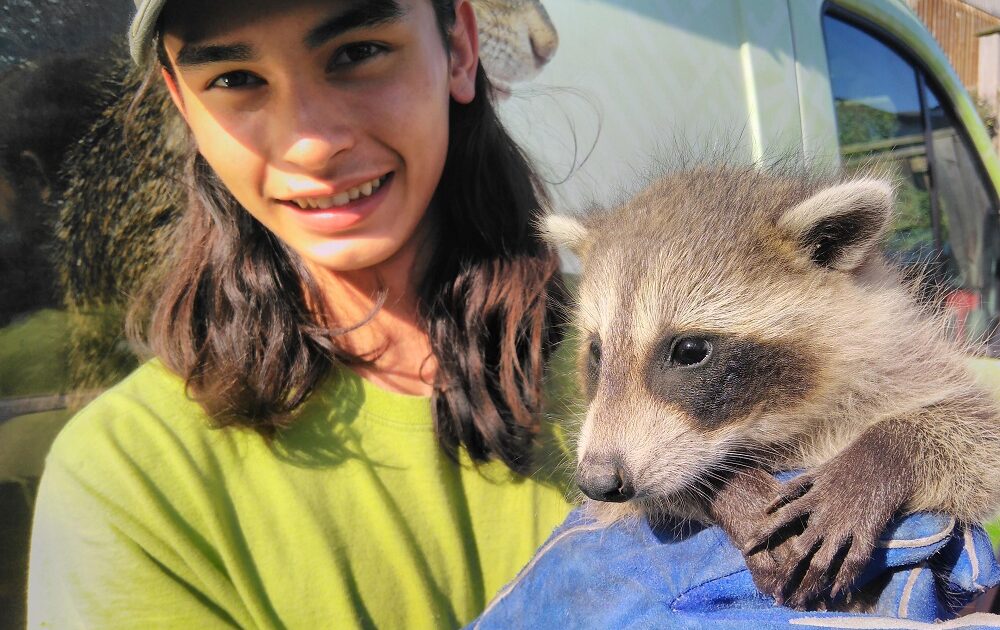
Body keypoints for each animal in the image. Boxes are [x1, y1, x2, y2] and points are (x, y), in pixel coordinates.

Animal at [544, 167, 1000, 612]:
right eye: (597, 351)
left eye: (689, 350)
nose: (597, 481)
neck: (773, 428)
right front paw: (730, 486)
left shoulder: (908, 360)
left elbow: (979, 436)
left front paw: (879, 457)